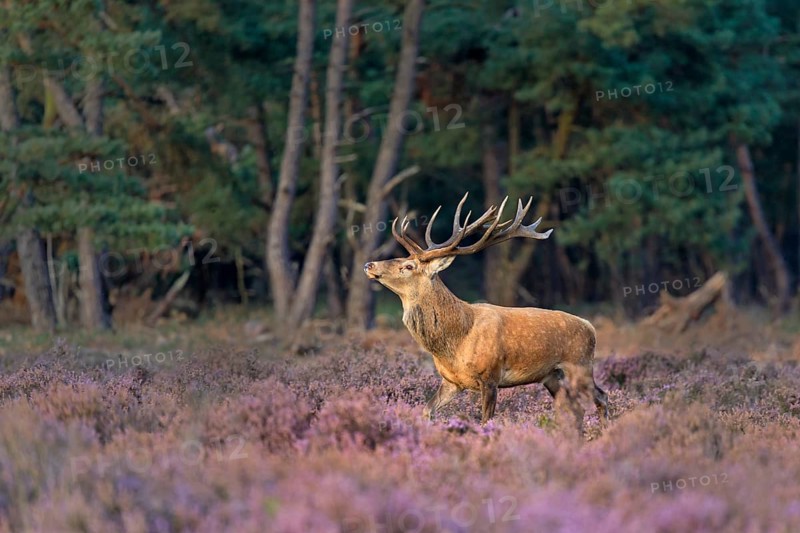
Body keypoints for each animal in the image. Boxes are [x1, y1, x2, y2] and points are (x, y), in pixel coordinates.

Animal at [363, 192, 609, 430]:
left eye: (408, 266)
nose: (369, 264)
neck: (454, 343)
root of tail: (591, 327)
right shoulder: (452, 381)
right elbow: (426, 410)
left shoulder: (490, 376)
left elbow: (485, 422)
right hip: (552, 376)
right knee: (575, 408)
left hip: (581, 365)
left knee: (602, 397)